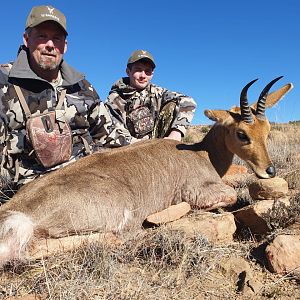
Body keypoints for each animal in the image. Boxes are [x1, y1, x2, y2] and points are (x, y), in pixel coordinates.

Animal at [0, 77, 292, 264]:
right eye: (242, 133)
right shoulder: (195, 192)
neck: (201, 153)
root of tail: (13, 212)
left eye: (266, 130)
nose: (269, 170)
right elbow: (228, 196)